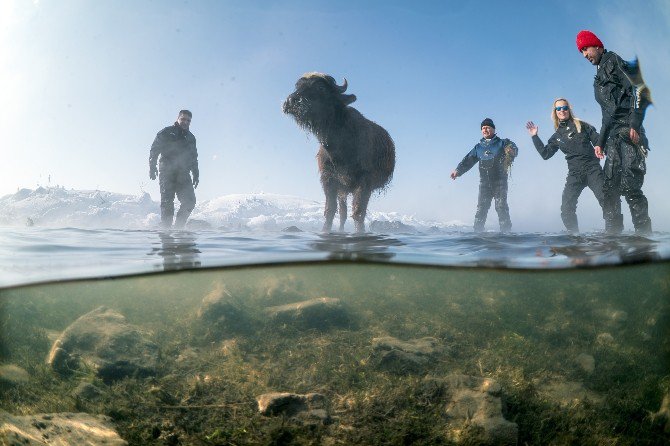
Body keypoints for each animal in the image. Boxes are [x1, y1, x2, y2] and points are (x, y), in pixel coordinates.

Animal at [282, 72, 396, 233]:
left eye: (321, 87)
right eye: (297, 86)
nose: (291, 101)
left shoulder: (364, 181)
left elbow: (358, 212)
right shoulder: (329, 179)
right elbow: (330, 210)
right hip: (342, 191)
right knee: (343, 213)